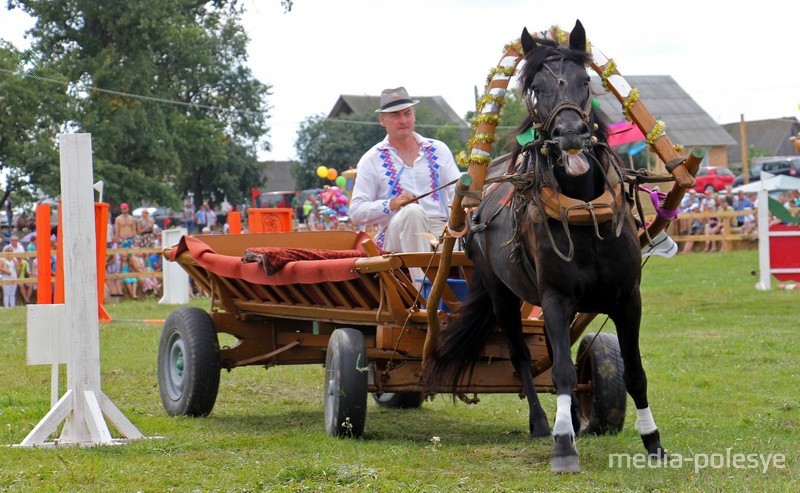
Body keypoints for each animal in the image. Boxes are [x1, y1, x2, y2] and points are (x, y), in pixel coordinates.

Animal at [424, 20, 668, 472]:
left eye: (585, 81)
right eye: (536, 88)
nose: (571, 134)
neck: (585, 212)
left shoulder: (628, 298)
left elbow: (634, 372)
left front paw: (653, 441)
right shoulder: (555, 298)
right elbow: (562, 373)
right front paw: (563, 445)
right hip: (501, 294)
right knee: (522, 356)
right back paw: (541, 423)